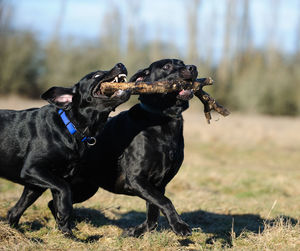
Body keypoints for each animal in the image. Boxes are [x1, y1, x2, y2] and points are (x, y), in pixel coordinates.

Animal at [0, 63, 131, 235]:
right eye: (95, 75)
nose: (120, 64)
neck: (71, 127)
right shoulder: (33, 169)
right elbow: (65, 192)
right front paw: (65, 216)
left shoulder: (44, 181)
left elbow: (22, 208)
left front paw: (67, 232)